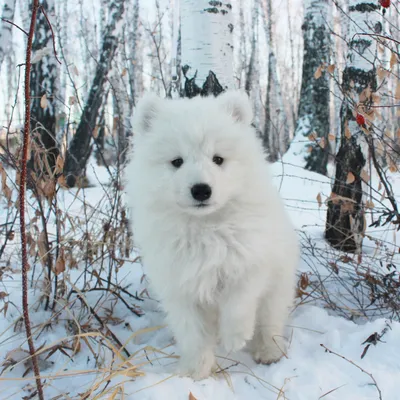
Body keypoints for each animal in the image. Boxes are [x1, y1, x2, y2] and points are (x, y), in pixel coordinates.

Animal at [126, 91, 298, 382]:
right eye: (177, 161)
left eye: (218, 159)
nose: (201, 190)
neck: (205, 227)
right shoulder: (180, 284)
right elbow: (193, 333)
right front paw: (195, 372)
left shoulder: (249, 260)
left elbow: (239, 301)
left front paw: (235, 337)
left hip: (279, 284)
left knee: (270, 319)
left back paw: (268, 351)